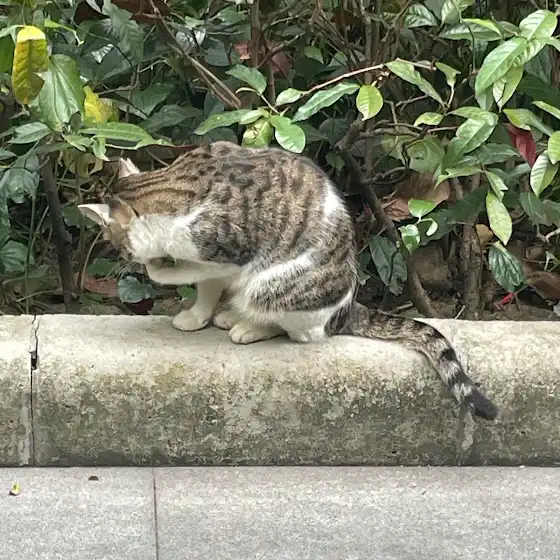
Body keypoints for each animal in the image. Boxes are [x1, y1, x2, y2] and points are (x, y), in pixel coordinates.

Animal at [78, 141, 498, 421]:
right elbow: (207, 288)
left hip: (274, 286)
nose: (122, 260)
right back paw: (232, 315)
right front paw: (197, 315)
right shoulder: (220, 263)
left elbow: (193, 271)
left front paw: (159, 268)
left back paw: (249, 326)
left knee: (302, 330)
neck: (171, 190)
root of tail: (348, 306)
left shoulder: (226, 251)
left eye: (116, 244)